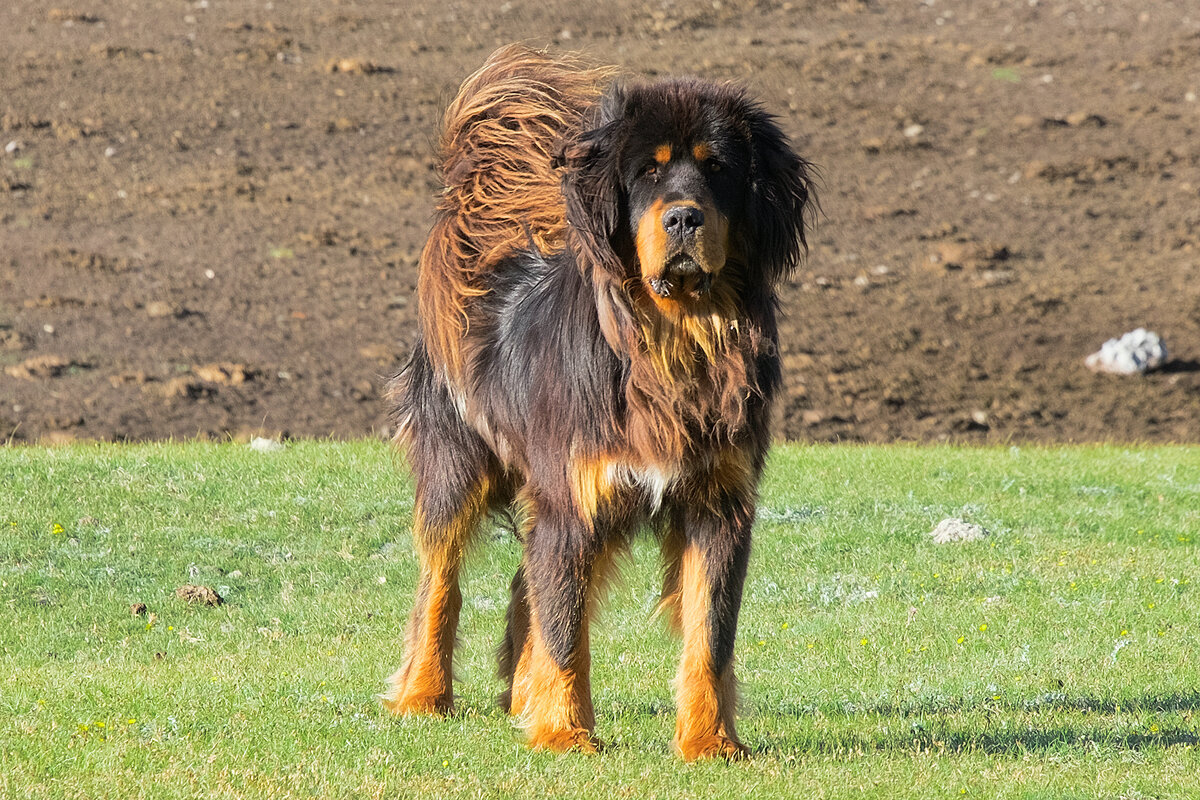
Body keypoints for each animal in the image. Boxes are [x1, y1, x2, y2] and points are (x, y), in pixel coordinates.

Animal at [384, 45, 816, 762]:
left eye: (719, 170)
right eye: (648, 172)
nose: (684, 217)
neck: (672, 342)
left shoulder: (718, 504)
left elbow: (709, 634)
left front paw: (710, 741)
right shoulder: (575, 499)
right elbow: (566, 632)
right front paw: (564, 733)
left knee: (525, 585)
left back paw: (519, 697)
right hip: (460, 465)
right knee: (441, 583)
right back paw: (423, 693)